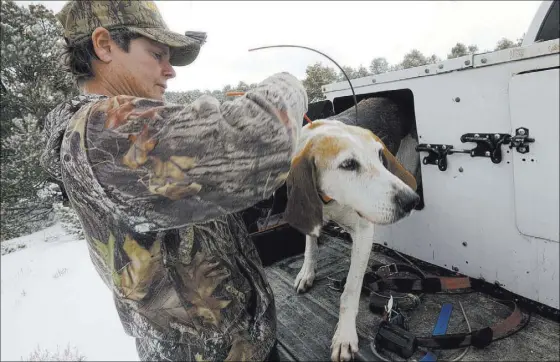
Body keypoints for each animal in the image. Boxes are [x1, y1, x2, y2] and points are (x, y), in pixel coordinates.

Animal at [284, 97, 420, 362]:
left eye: (380, 156)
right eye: (348, 165)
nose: (411, 201)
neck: (330, 200)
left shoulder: (364, 232)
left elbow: (350, 291)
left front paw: (344, 336)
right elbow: (310, 246)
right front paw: (307, 273)